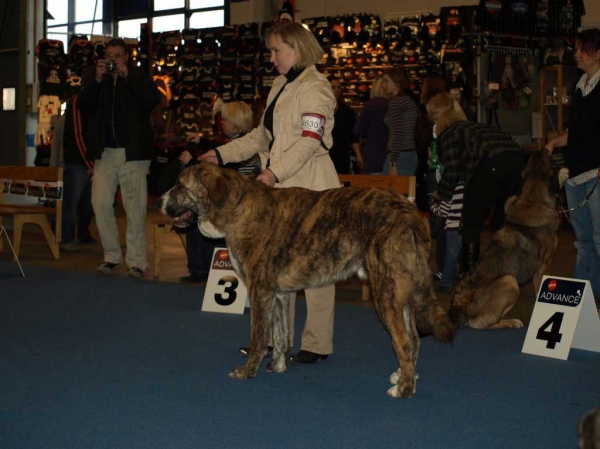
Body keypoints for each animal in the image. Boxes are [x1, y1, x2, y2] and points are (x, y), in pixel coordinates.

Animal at [156, 163, 454, 398]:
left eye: (180, 185)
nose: (158, 200)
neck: (238, 205)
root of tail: (411, 213)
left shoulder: (259, 290)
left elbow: (258, 337)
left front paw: (248, 371)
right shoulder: (277, 293)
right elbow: (280, 333)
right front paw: (278, 366)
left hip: (385, 290)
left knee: (402, 341)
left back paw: (404, 390)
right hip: (400, 291)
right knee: (413, 339)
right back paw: (405, 376)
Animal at [450, 150, 564, 328]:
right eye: (549, 158)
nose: (543, 149)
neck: (532, 200)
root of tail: (457, 306)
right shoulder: (543, 268)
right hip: (509, 281)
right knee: (480, 323)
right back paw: (510, 322)